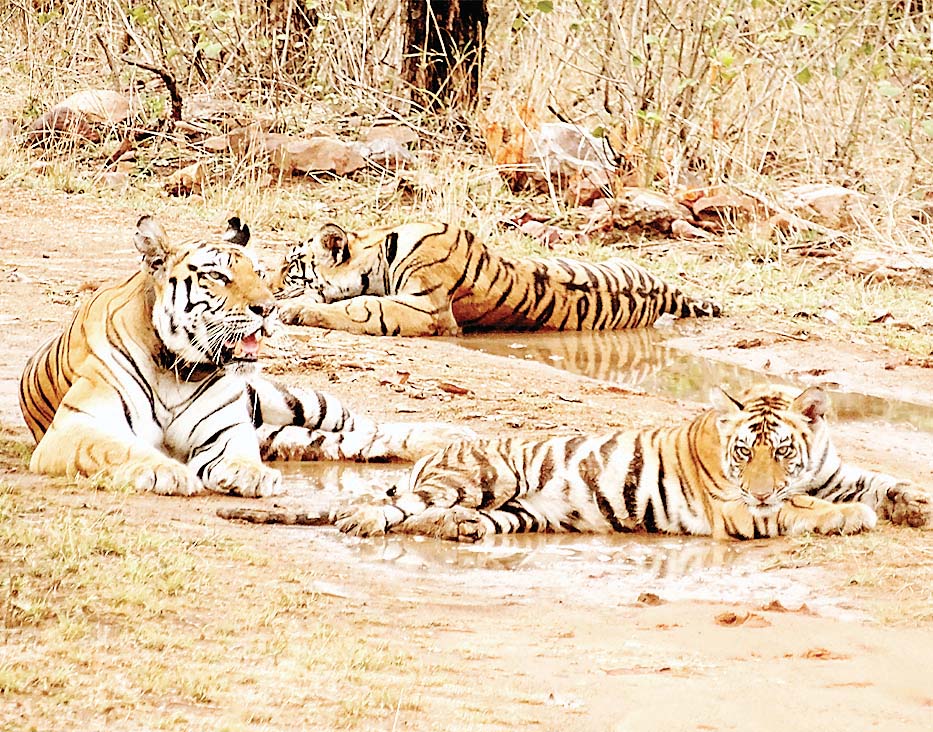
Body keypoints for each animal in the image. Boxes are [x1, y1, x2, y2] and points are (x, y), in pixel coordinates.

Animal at [17, 214, 474, 494]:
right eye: (217, 276)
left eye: (256, 272)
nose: (268, 308)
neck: (177, 370)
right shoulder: (76, 427)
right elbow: (119, 448)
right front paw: (164, 470)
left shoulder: (226, 428)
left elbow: (237, 451)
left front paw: (248, 474)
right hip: (283, 431)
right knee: (343, 443)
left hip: (292, 401)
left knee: (366, 427)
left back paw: (449, 437)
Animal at [270, 222, 720, 336]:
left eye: (292, 268)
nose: (269, 288)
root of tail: (663, 290)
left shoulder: (428, 309)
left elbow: (361, 306)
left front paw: (292, 310)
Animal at [336, 386, 932, 540]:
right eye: (744, 453)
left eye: (782, 451)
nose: (761, 488)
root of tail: (436, 451)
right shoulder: (738, 510)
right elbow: (797, 508)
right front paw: (851, 517)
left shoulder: (833, 473)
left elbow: (878, 481)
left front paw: (914, 503)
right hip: (481, 477)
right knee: (396, 509)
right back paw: (358, 520)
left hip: (519, 512)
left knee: (428, 520)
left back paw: (458, 529)